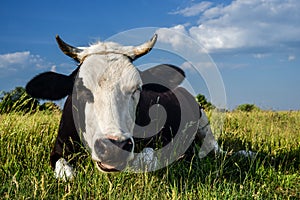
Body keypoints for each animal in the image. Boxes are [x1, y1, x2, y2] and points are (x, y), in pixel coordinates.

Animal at [25, 34, 253, 180]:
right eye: (80, 89)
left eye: (137, 88)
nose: (113, 146)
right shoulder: (59, 147)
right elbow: (66, 174)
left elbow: (148, 159)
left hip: (204, 121)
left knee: (215, 149)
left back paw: (243, 154)